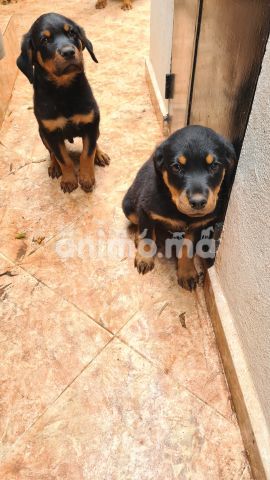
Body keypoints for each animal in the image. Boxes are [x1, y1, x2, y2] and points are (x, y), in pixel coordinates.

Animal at [16, 11, 109, 191]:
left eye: (72, 33)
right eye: (44, 40)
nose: (68, 52)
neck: (64, 91)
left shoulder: (90, 123)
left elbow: (87, 153)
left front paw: (86, 178)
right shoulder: (51, 133)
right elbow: (63, 158)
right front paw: (69, 180)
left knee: (95, 143)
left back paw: (100, 154)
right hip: (42, 135)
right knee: (52, 153)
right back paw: (54, 166)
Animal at [123, 125, 236, 290]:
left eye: (214, 165)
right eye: (177, 167)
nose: (198, 202)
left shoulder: (198, 225)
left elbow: (187, 249)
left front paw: (187, 273)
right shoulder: (145, 209)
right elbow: (147, 236)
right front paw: (145, 259)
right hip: (128, 206)